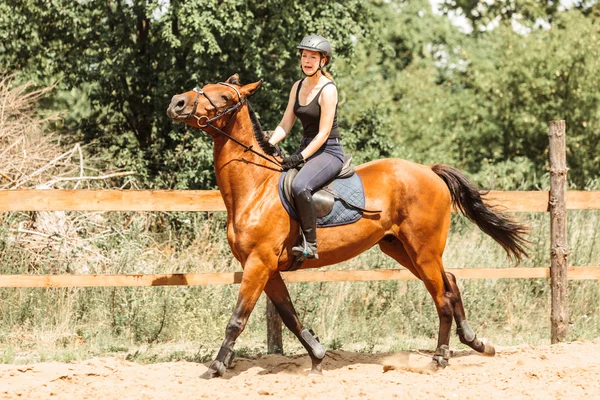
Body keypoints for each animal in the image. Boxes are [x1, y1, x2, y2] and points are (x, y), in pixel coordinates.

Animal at [166, 74, 528, 378]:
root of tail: (429, 171)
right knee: (450, 283)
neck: (256, 186)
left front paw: (215, 367)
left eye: (225, 96)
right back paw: (475, 342)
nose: (177, 103)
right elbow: (289, 315)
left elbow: (237, 319)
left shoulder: (259, 263)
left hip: (423, 250)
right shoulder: (265, 268)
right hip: (401, 249)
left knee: (442, 297)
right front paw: (317, 355)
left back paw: (440, 357)